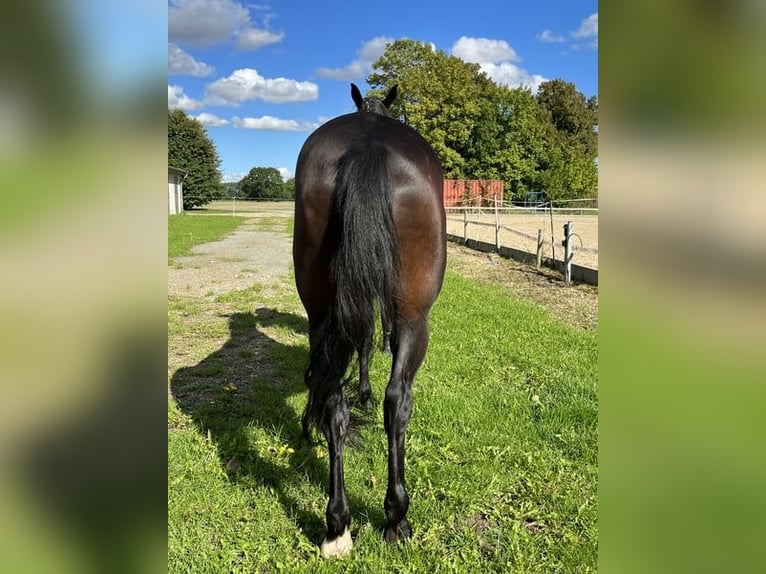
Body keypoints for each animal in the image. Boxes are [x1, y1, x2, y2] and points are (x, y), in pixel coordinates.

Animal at [292, 83, 446, 558]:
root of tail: (367, 142)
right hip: (415, 317)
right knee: (397, 400)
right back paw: (396, 516)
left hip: (321, 313)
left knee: (332, 402)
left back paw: (337, 525)